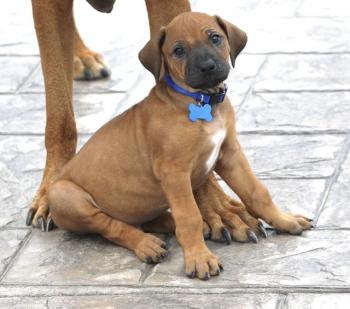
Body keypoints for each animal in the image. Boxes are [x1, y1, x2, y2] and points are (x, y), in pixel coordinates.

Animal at [46, 12, 312, 280]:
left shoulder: (230, 155)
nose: (207, 67)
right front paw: (199, 258)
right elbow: (188, 215)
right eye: (178, 50)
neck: (201, 100)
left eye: (215, 38)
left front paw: (284, 220)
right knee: (112, 226)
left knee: (150, 220)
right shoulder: (174, 172)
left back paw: (196, 227)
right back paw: (146, 243)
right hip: (64, 195)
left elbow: (257, 192)